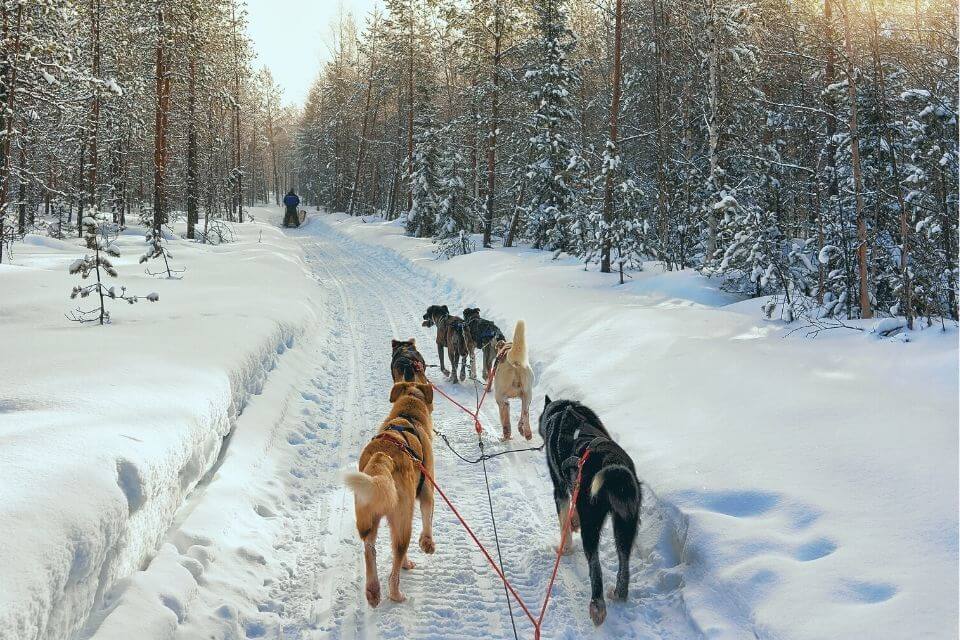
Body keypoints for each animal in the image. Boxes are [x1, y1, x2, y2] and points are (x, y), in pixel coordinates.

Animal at [344, 382, 436, 608]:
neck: (407, 414)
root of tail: (383, 459)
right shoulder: (427, 490)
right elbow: (428, 518)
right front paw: (427, 544)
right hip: (403, 520)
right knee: (396, 560)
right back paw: (396, 593)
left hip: (368, 517)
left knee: (370, 549)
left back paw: (373, 591)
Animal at [536, 396, 640, 624]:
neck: (561, 411)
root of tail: (612, 462)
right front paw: (573, 522)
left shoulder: (560, 490)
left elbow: (564, 522)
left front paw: (565, 548)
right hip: (625, 525)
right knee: (624, 565)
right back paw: (618, 594)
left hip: (591, 527)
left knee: (595, 568)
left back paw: (597, 606)